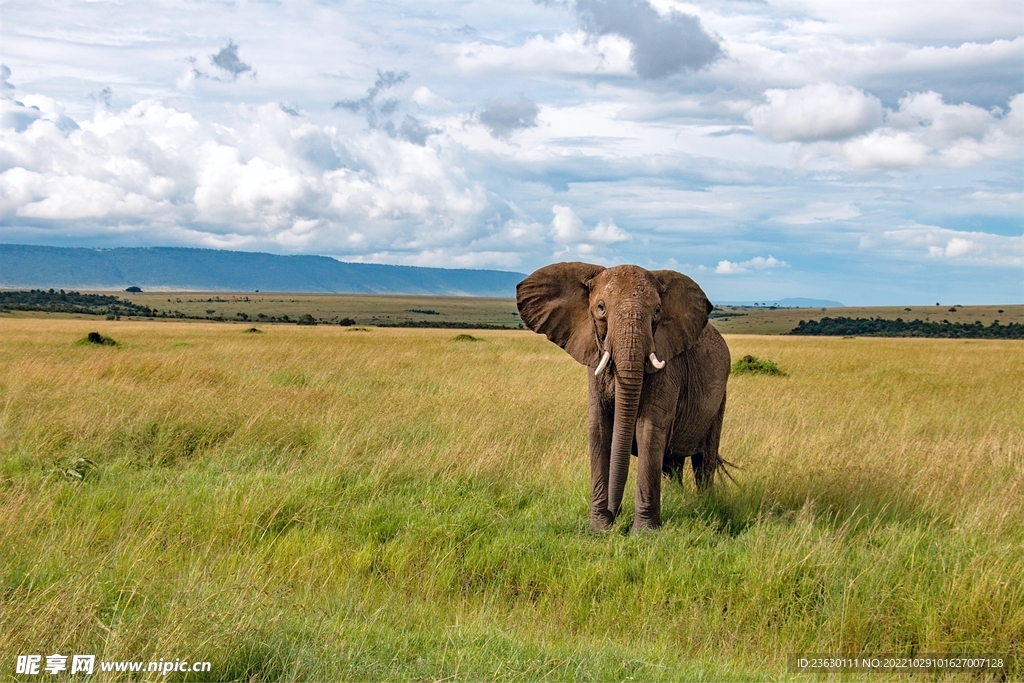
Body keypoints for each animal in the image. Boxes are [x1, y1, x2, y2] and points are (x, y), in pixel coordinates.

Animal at [520, 262, 729, 532]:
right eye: (600, 308)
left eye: (657, 311)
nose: (615, 516)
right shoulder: (593, 359)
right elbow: (599, 430)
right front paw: (600, 528)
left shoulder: (668, 365)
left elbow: (648, 430)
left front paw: (644, 532)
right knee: (673, 463)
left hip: (720, 400)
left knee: (704, 461)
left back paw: (704, 503)